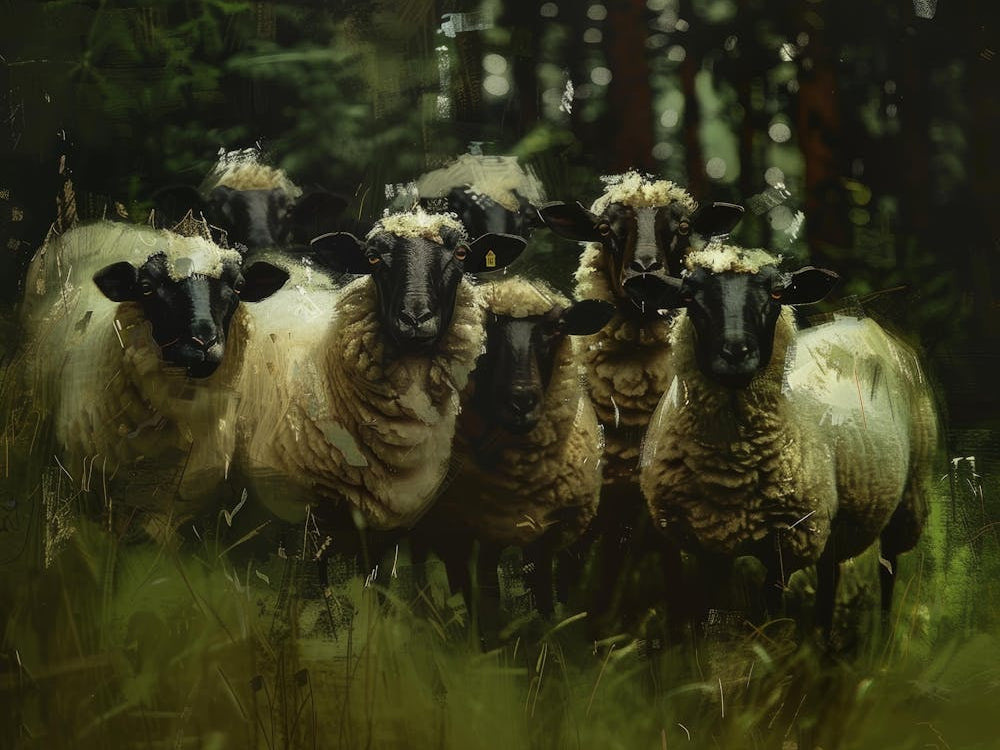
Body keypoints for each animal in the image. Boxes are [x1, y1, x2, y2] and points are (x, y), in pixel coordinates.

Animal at [21, 219, 289, 533]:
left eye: (238, 287)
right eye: (146, 288)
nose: (204, 341)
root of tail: (106, 223)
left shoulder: (174, 507)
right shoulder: (83, 485)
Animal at [410, 277, 614, 638]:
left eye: (556, 328)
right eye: (483, 330)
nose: (520, 400)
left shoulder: (546, 533)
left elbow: (542, 591)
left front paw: (547, 637)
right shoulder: (471, 530)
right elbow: (484, 596)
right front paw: (486, 644)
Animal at [626, 243, 939, 635]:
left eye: (777, 294)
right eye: (687, 296)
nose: (736, 353)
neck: (731, 468)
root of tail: (858, 322)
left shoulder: (787, 544)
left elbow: (769, 615)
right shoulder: (707, 545)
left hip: (908, 497)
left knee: (888, 568)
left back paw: (881, 637)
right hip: (835, 524)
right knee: (830, 576)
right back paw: (823, 640)